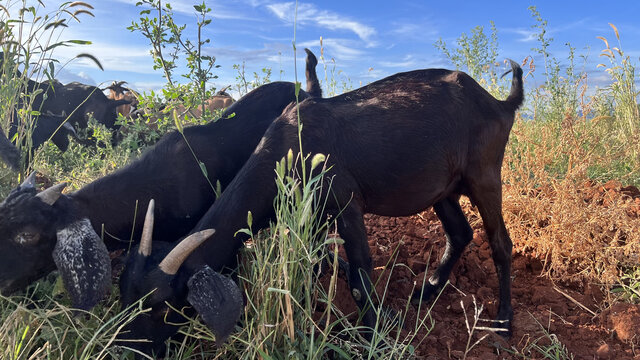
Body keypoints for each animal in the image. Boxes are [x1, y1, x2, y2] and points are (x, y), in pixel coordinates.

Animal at [116, 59, 524, 352]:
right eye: (124, 294)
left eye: (162, 306)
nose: (129, 350)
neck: (289, 147)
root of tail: (500, 104)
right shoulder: (312, 215)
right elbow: (313, 263)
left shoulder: (346, 204)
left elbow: (359, 273)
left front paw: (375, 332)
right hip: (444, 189)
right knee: (461, 232)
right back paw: (430, 288)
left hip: (485, 176)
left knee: (500, 244)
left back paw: (503, 320)